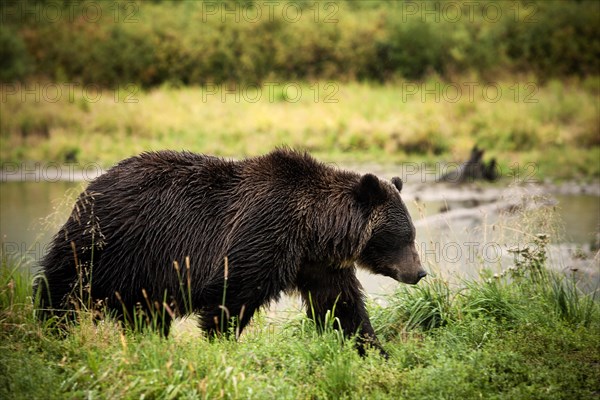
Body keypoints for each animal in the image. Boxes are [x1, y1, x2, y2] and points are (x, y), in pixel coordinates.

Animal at [35, 148, 424, 354]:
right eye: (404, 235)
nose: (419, 272)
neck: (313, 230)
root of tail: (91, 185)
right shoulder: (261, 236)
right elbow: (232, 297)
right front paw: (222, 345)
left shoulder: (317, 264)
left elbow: (342, 306)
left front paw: (373, 349)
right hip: (108, 244)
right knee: (64, 287)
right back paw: (50, 329)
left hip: (139, 272)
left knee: (144, 313)